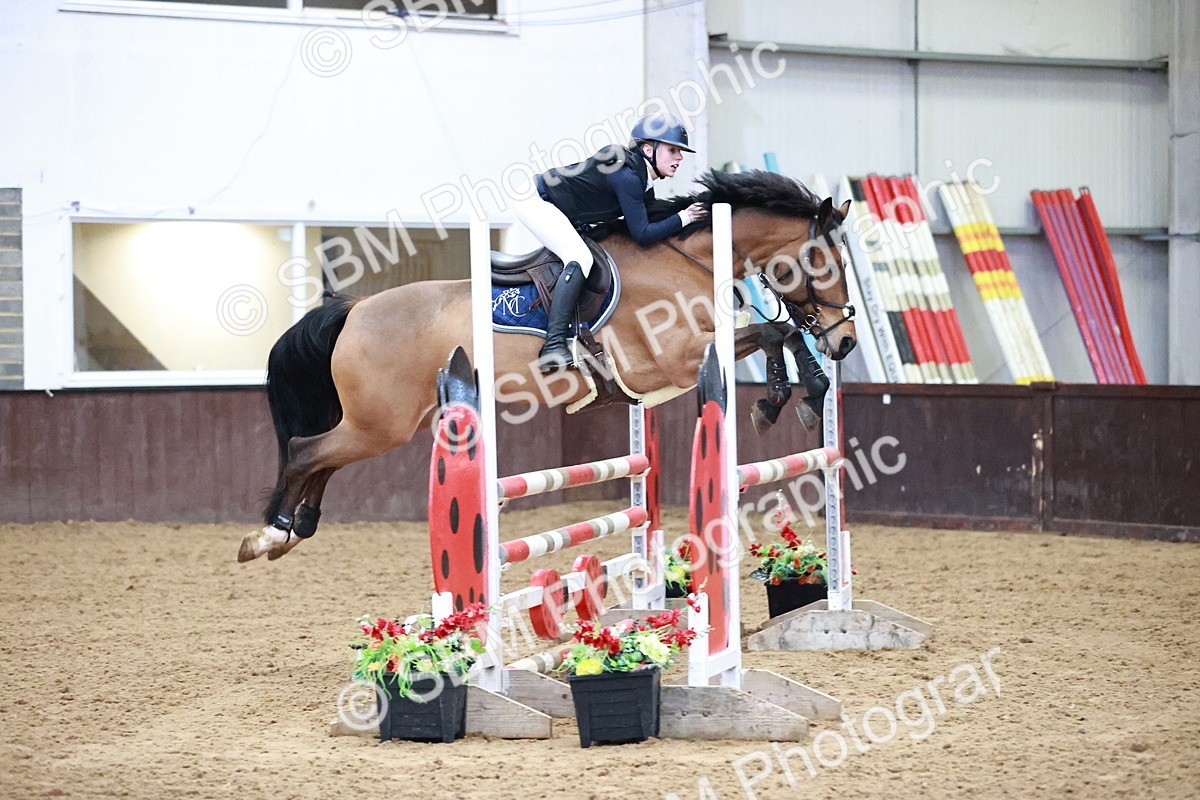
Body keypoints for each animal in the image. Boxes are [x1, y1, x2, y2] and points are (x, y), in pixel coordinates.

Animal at [238, 170, 857, 563]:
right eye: (827, 262)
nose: (848, 340)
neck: (688, 260)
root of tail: (355, 308)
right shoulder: (671, 363)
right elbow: (773, 330)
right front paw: (781, 400)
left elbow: (780, 332)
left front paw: (803, 394)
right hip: (380, 423)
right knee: (306, 450)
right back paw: (268, 535)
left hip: (383, 422)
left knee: (323, 457)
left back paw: (296, 529)